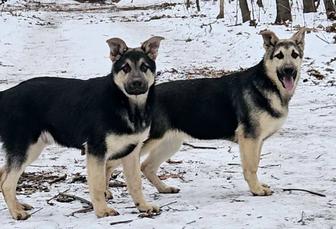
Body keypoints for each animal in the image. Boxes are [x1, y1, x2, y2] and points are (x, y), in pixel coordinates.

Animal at [0, 36, 163, 220]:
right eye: (125, 68)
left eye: (144, 67)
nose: (137, 83)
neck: (126, 104)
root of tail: (6, 94)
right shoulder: (96, 150)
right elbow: (98, 184)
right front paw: (102, 211)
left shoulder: (132, 151)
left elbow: (135, 182)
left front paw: (143, 206)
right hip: (25, 147)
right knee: (7, 183)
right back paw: (17, 212)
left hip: (32, 148)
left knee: (3, 175)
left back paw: (19, 205)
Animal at [106, 28, 306, 197]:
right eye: (279, 56)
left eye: (294, 55)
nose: (289, 70)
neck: (268, 83)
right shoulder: (250, 139)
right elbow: (251, 167)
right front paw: (256, 190)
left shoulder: (257, 141)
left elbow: (255, 162)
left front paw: (258, 186)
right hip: (145, 142)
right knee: (109, 163)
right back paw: (106, 194)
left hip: (169, 142)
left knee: (146, 166)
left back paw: (164, 188)